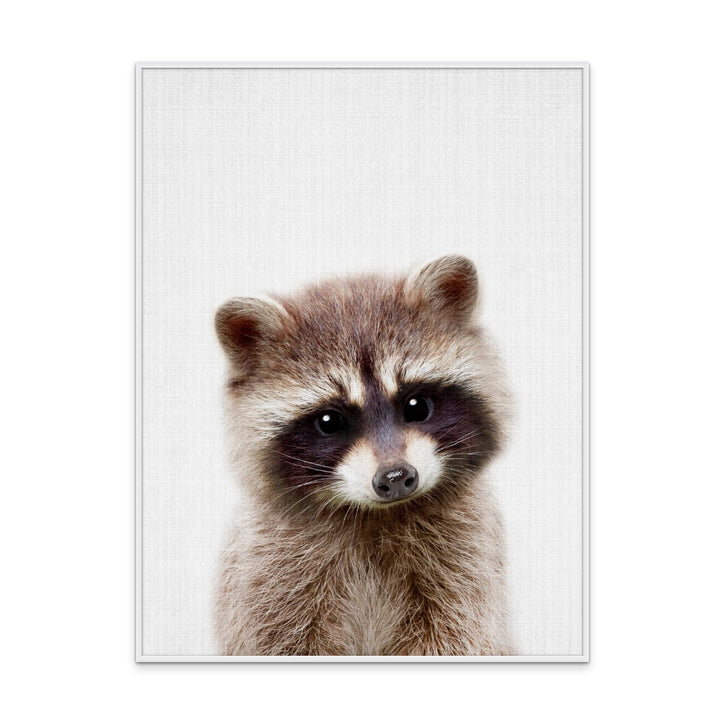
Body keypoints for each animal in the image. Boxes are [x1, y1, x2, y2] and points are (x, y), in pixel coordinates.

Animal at [214, 255, 513, 656]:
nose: (396, 477)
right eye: (329, 421)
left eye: (417, 406)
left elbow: (457, 634)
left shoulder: (466, 561)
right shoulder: (269, 573)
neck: (375, 516)